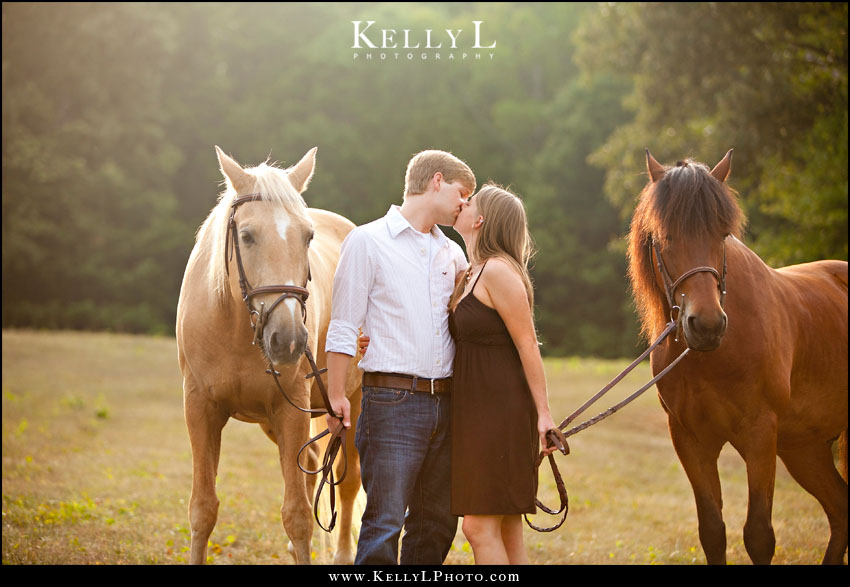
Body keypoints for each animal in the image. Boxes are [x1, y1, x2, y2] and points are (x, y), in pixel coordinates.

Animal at [176, 147, 362, 564]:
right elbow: (202, 509)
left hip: (353, 405)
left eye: (308, 237)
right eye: (246, 236)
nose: (289, 340)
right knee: (314, 466)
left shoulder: (290, 411)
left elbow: (297, 516)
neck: (234, 326)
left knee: (347, 483)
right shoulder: (200, 409)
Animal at [628, 150, 844, 564]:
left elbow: (759, 535)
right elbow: (712, 530)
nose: (707, 325)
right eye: (666, 236)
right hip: (805, 449)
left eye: (720, 234)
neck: (713, 358)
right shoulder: (690, 440)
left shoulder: (760, 433)